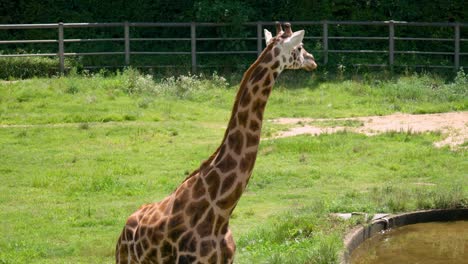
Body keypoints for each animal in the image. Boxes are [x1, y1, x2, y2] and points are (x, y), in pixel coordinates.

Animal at [115, 22, 316, 264]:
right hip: (125, 259)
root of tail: (122, 232)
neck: (221, 211)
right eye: (300, 47)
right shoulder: (191, 260)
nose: (312, 60)